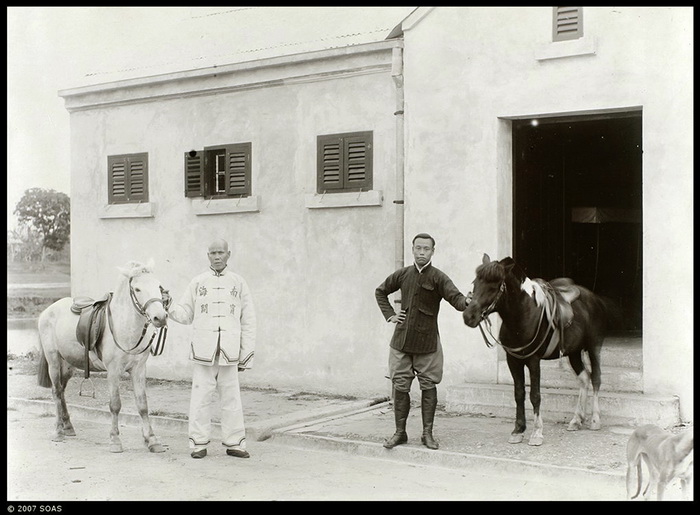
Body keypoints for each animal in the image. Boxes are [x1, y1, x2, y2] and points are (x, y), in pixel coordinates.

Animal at [37, 260, 170, 454]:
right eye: (137, 289)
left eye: (158, 286)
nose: (160, 317)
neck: (124, 327)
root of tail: (48, 310)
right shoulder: (113, 371)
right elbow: (115, 405)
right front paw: (115, 440)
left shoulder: (138, 370)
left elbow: (143, 405)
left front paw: (152, 440)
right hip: (53, 360)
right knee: (56, 392)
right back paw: (59, 431)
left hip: (68, 364)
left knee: (62, 392)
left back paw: (68, 427)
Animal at [464, 255, 616, 448]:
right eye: (475, 283)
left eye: (493, 286)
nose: (468, 316)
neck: (522, 315)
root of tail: (595, 299)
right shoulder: (513, 360)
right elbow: (519, 394)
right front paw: (518, 430)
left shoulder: (533, 360)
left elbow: (535, 395)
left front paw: (537, 432)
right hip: (573, 352)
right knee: (584, 378)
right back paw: (576, 420)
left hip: (593, 347)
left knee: (596, 378)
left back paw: (595, 420)